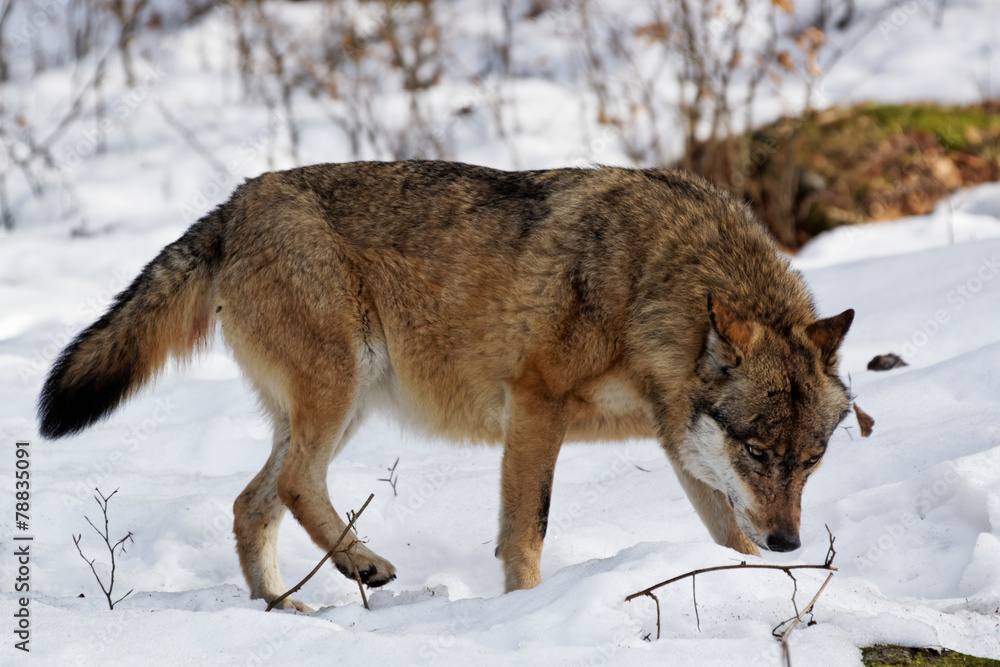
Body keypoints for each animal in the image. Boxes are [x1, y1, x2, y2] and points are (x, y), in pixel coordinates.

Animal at [39, 160, 854, 611]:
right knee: (295, 486)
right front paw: (525, 610)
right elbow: (527, 529)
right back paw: (361, 565)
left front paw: (751, 583)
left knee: (250, 504)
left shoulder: (677, 442)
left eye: (811, 461)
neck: (649, 289)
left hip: (342, 407)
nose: (790, 542)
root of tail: (238, 201)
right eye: (757, 452)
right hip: (342, 392)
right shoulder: (535, 404)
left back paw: (288, 610)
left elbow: (726, 535)